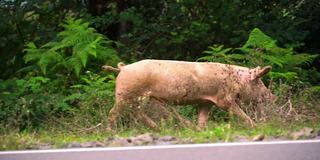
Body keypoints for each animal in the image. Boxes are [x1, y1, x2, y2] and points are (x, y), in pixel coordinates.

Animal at [104, 59, 274, 129]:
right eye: (259, 82)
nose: (272, 96)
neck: (235, 80)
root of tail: (123, 68)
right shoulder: (224, 99)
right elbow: (239, 113)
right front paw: (255, 126)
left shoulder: (206, 102)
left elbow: (203, 118)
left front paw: (200, 129)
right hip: (127, 94)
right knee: (114, 112)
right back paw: (110, 131)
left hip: (136, 97)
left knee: (135, 112)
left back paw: (159, 128)